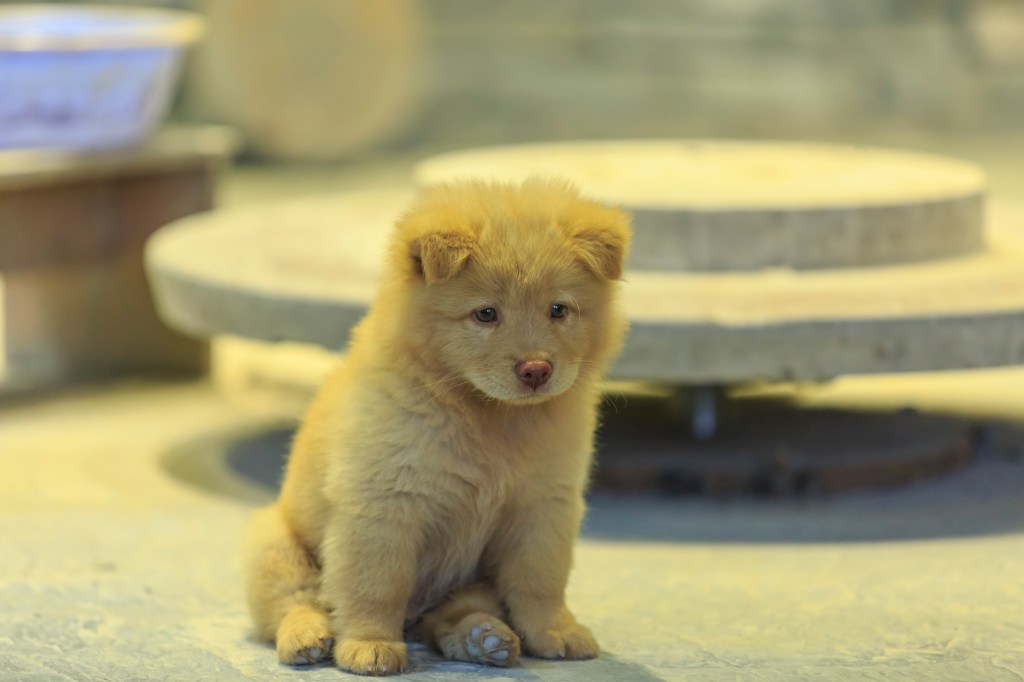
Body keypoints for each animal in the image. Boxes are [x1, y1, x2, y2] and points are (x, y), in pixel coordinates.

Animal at [242, 176, 630, 675]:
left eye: (558, 310)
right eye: (486, 314)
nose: (536, 369)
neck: (490, 420)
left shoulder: (544, 506)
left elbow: (540, 582)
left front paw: (557, 633)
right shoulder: (385, 506)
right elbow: (376, 585)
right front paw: (369, 647)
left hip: (469, 581)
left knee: (452, 618)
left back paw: (484, 638)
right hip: (275, 543)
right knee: (295, 601)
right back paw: (308, 638)